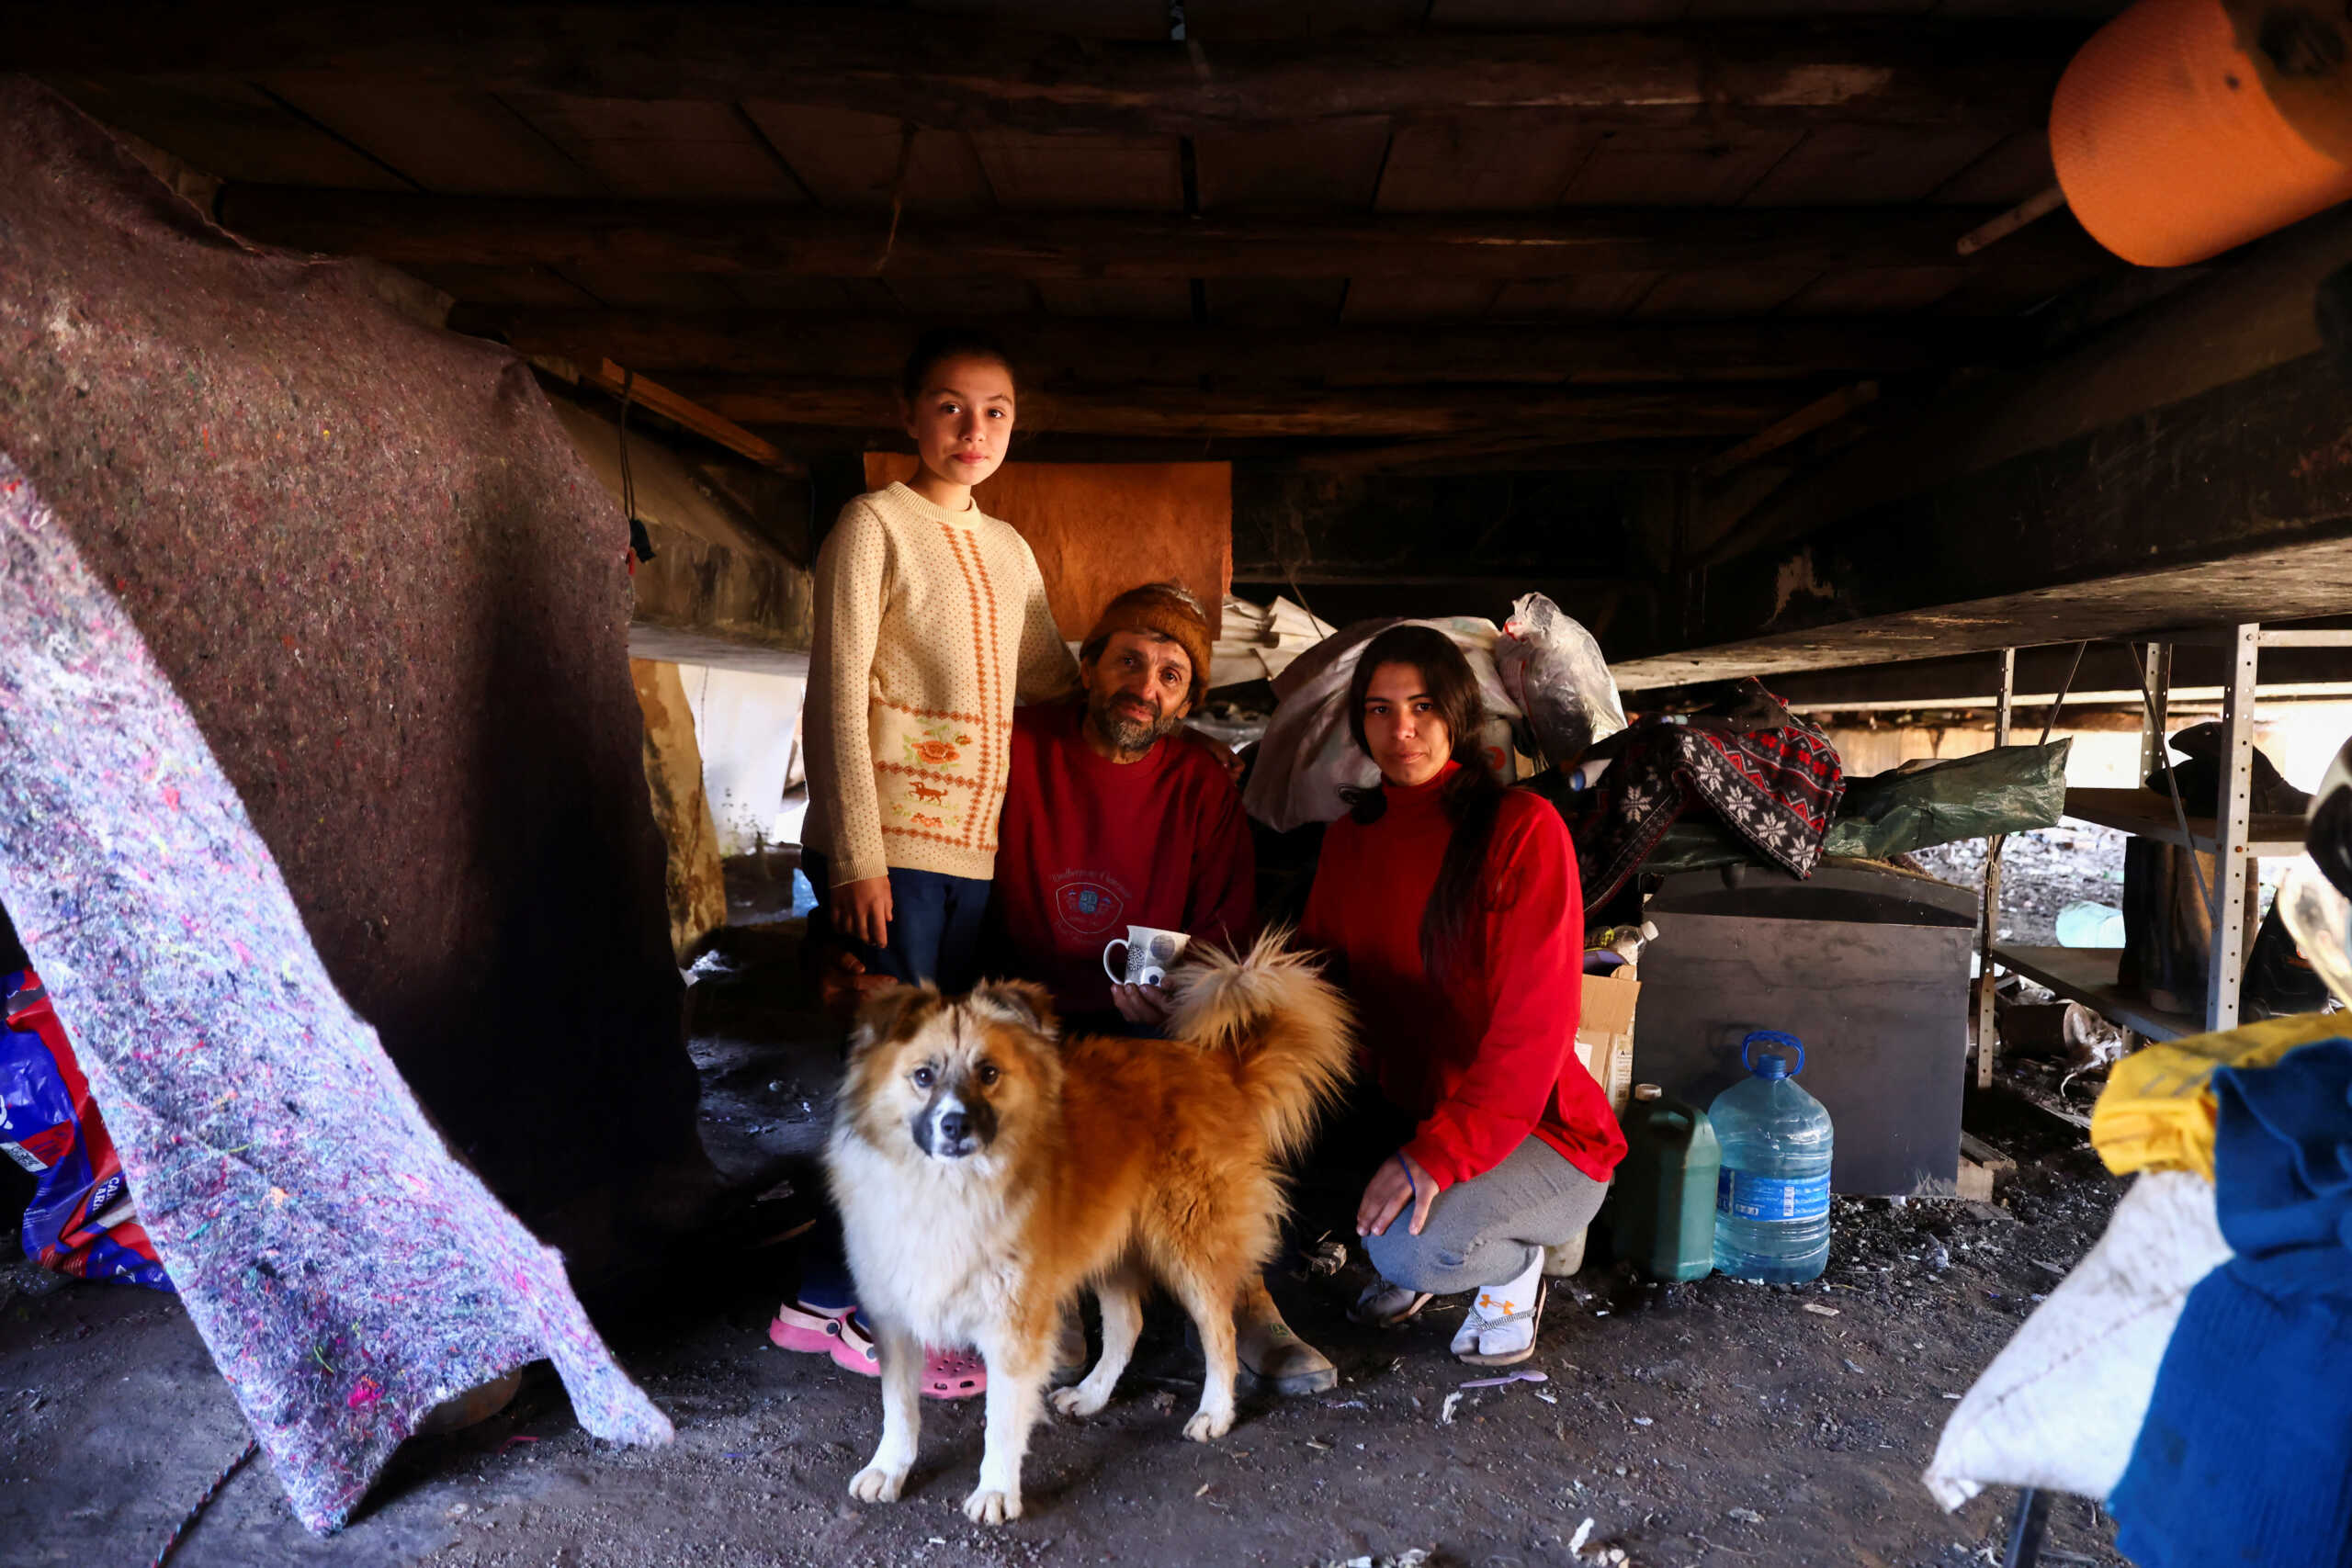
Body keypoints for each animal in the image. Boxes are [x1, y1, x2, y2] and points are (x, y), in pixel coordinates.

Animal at [828, 931, 1354, 1523]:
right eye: (923, 1075)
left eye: (989, 1073)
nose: (956, 1126)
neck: (946, 1189)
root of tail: (1218, 1066)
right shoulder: (894, 1312)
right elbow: (899, 1408)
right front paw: (889, 1468)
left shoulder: (1015, 1323)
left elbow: (1001, 1419)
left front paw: (996, 1489)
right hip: (1113, 1245)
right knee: (1128, 1325)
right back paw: (1094, 1393)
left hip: (1189, 1246)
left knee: (1219, 1331)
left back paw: (1216, 1411)